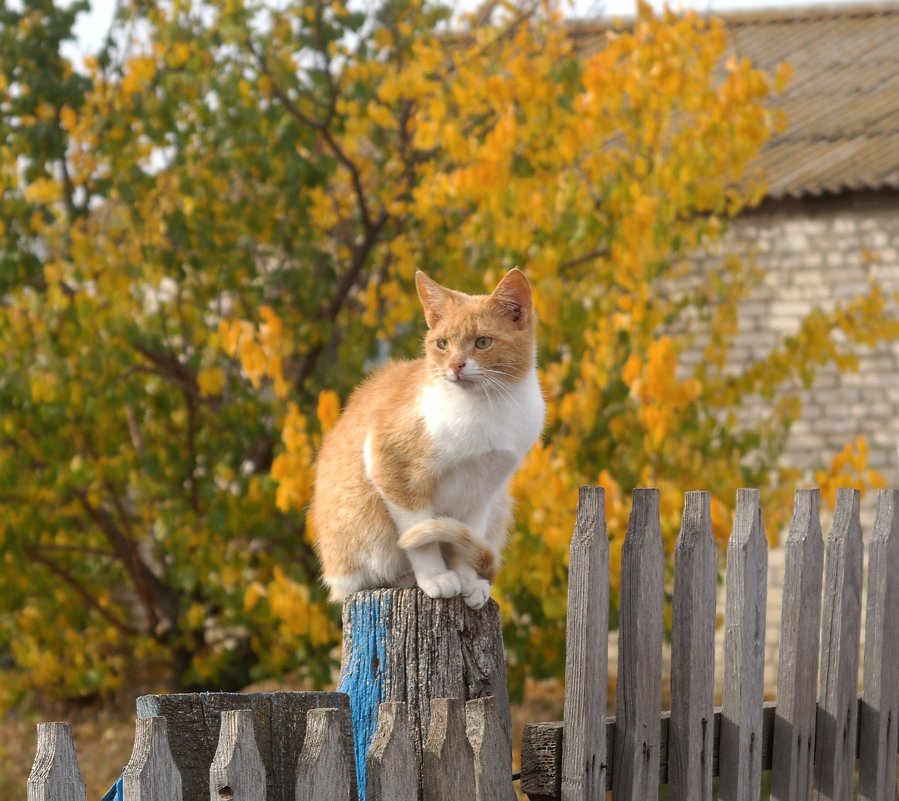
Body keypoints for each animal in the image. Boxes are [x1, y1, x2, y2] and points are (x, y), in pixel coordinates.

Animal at [310, 268, 548, 608]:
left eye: (483, 342)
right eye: (443, 343)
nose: (456, 366)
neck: (484, 407)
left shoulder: (482, 492)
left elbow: (464, 540)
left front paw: (467, 580)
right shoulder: (393, 468)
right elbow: (420, 538)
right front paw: (436, 577)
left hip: (500, 504)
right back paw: (405, 579)